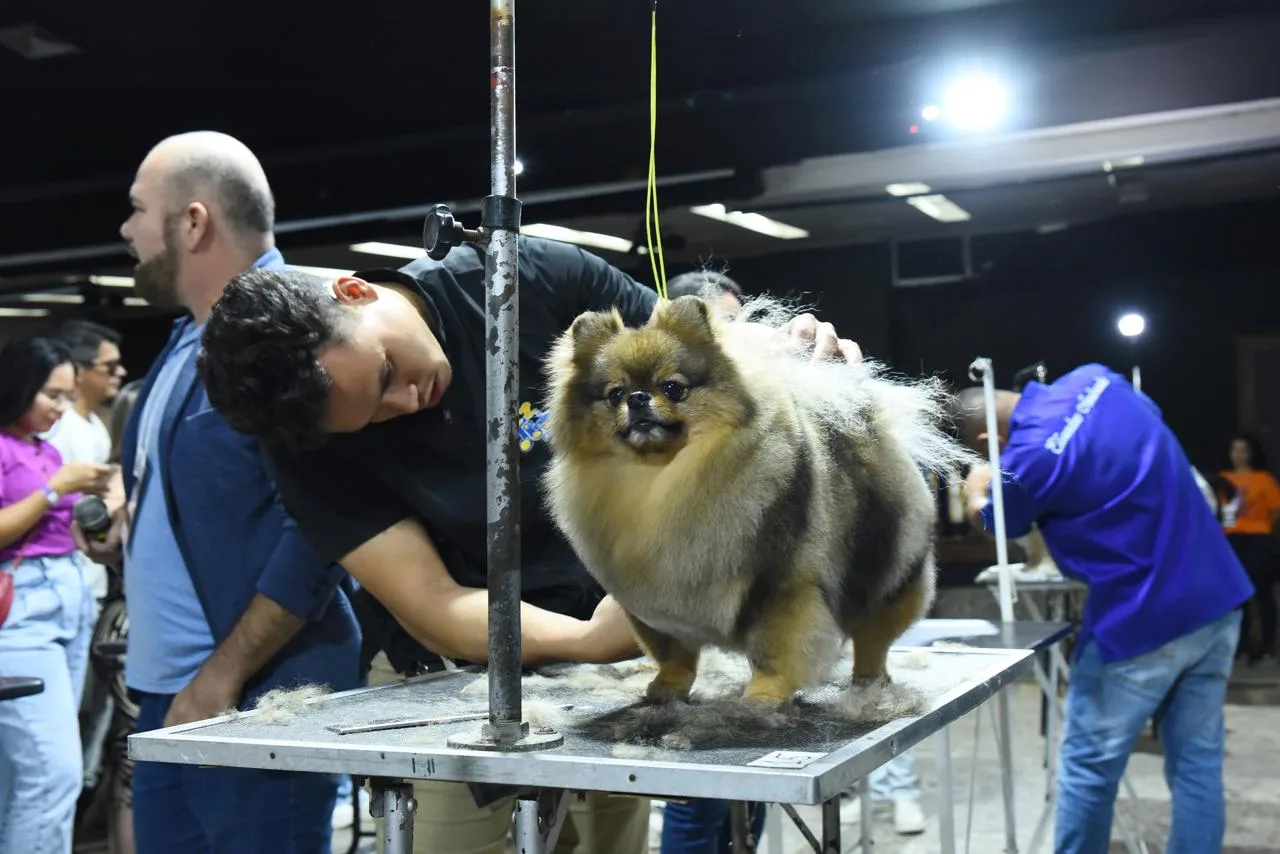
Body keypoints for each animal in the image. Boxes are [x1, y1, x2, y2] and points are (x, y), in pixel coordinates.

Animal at [540, 294, 967, 706]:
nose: (638, 399)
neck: (661, 481)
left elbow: (773, 649)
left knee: (873, 638)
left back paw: (869, 678)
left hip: (891, 575)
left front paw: (764, 695)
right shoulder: (651, 608)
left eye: (673, 387)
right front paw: (668, 688)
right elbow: (674, 655)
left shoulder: (780, 586)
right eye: (615, 395)